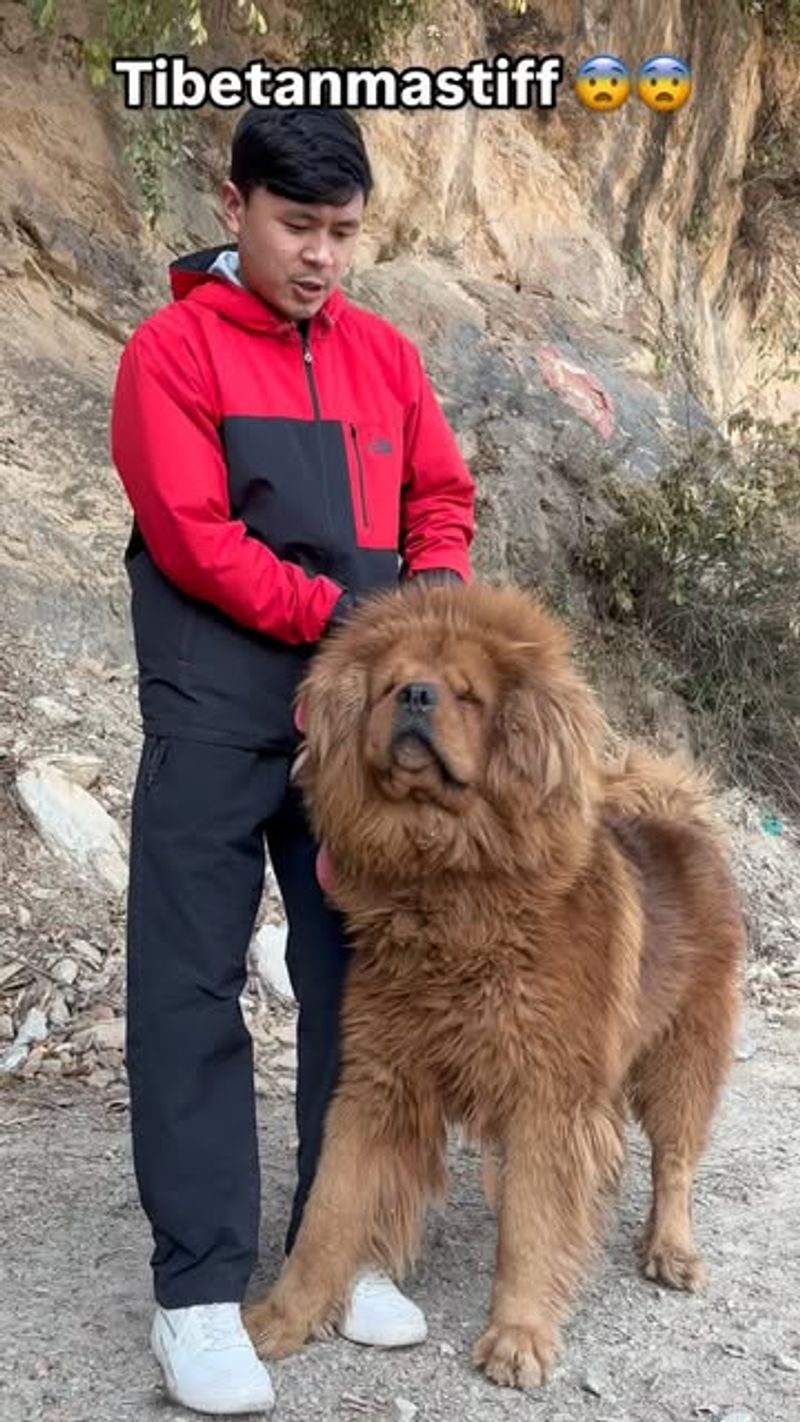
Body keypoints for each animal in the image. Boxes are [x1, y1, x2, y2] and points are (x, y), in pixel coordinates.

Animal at [247, 577, 750, 1387]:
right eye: (389, 684)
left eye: (467, 695)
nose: (415, 695)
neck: (452, 891)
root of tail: (682, 818)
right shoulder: (380, 1081)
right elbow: (330, 1210)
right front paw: (282, 1317)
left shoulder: (548, 1094)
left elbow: (531, 1225)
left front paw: (519, 1334)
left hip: (682, 1054)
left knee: (675, 1161)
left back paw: (671, 1248)